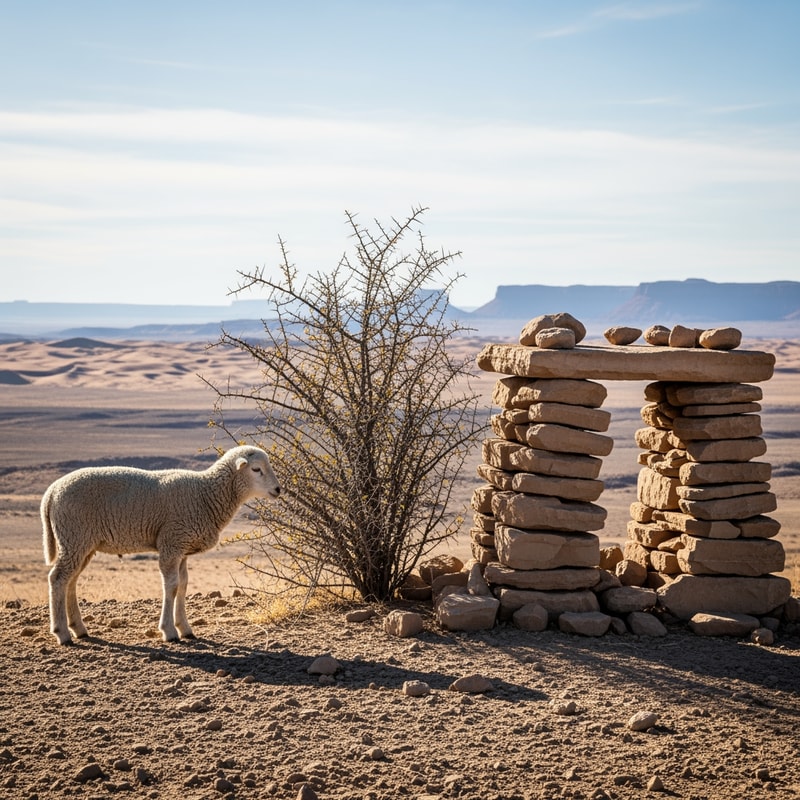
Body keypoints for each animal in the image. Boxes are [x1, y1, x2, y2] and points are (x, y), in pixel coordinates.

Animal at [41, 445, 280, 645]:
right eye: (256, 469)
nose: (278, 490)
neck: (205, 494)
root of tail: (51, 492)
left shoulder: (182, 547)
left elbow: (183, 585)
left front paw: (185, 628)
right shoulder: (171, 543)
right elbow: (171, 586)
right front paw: (169, 631)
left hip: (81, 543)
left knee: (70, 581)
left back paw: (79, 629)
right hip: (74, 536)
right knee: (57, 579)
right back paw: (62, 633)